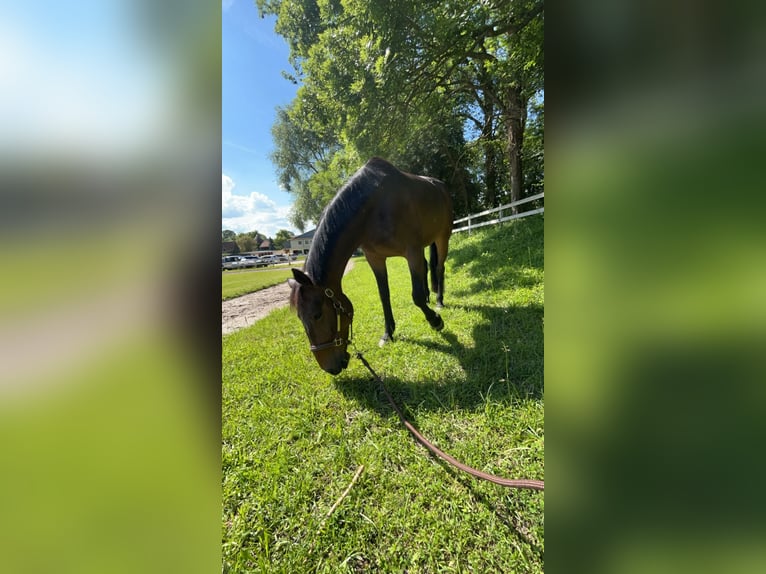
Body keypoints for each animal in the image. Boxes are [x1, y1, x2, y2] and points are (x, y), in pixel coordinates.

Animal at [292, 156, 452, 378]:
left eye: (317, 315)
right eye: (300, 317)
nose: (330, 368)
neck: (373, 209)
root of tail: (440, 186)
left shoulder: (411, 251)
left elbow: (416, 296)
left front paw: (435, 321)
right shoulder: (375, 258)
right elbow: (384, 296)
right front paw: (388, 333)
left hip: (442, 237)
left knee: (439, 268)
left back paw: (438, 301)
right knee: (428, 267)